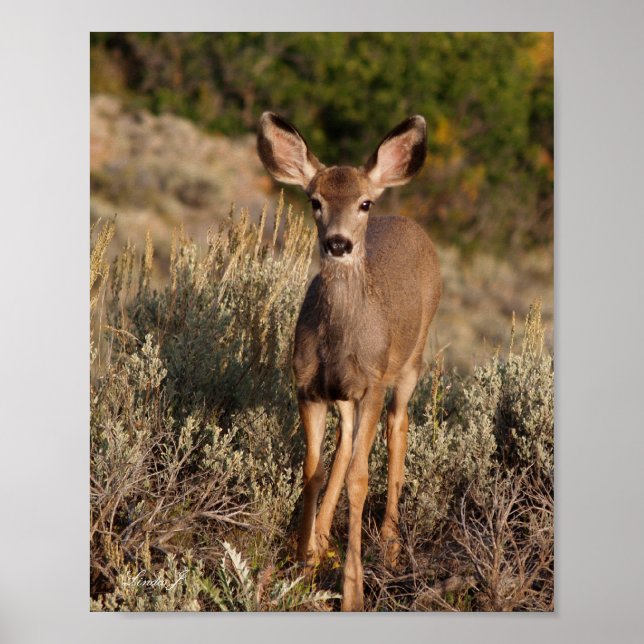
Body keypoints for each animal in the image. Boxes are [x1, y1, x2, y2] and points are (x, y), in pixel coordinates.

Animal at [257, 112, 441, 611]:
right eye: (315, 200)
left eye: (363, 203)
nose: (338, 243)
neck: (340, 341)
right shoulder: (307, 386)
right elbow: (312, 471)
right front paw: (302, 564)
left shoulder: (372, 383)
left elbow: (360, 477)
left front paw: (352, 592)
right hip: (345, 393)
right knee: (346, 441)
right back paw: (321, 540)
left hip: (410, 361)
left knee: (398, 427)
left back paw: (391, 545)